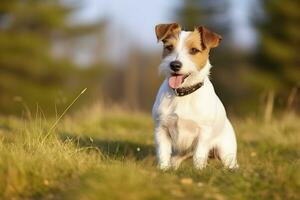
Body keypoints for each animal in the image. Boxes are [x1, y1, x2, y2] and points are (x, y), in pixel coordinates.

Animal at [152, 23, 239, 170]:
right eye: (169, 47)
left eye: (194, 50)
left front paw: (198, 171)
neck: (183, 94)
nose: (174, 65)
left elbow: (198, 156)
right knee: (175, 159)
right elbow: (163, 154)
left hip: (226, 153)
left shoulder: (203, 134)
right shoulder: (161, 129)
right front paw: (163, 169)